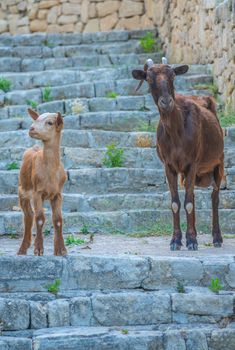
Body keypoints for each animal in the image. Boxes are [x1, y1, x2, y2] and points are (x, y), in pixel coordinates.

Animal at [132, 61, 224, 250]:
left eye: (173, 75)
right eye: (148, 78)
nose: (166, 101)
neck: (177, 133)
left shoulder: (192, 164)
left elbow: (188, 203)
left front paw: (192, 241)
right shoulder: (169, 166)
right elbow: (176, 203)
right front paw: (176, 240)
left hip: (219, 162)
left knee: (214, 198)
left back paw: (217, 238)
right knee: (194, 196)